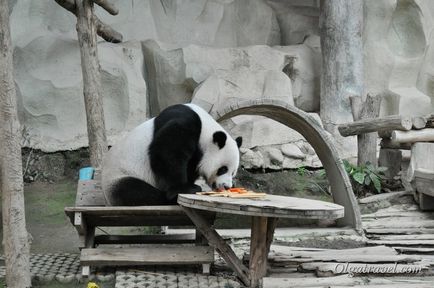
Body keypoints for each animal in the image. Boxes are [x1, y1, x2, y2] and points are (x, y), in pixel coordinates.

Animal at [102, 102, 244, 206]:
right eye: (223, 169)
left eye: (233, 173)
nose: (227, 186)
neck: (205, 128)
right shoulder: (186, 125)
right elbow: (167, 154)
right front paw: (183, 189)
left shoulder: (196, 155)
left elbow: (189, 166)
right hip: (120, 175)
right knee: (133, 191)